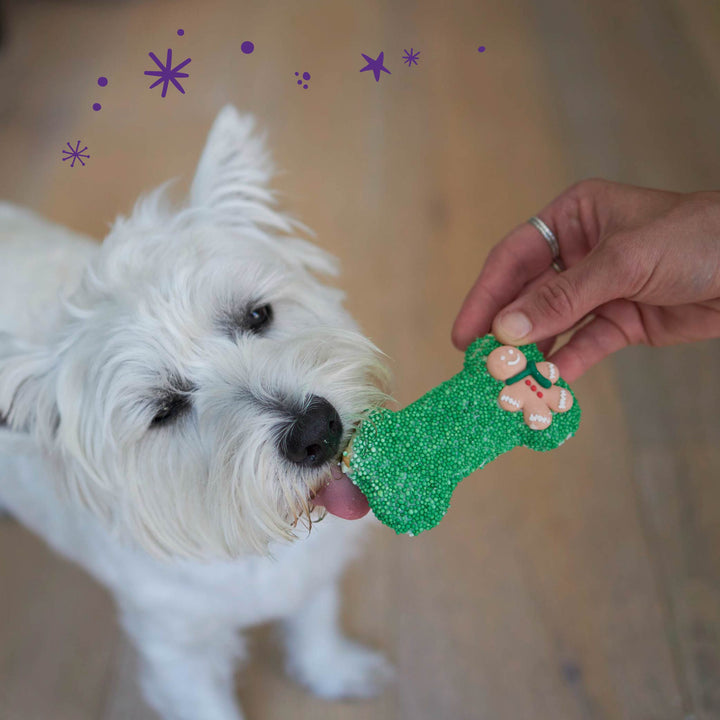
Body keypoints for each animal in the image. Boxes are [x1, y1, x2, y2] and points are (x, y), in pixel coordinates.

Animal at [0, 107, 394, 720]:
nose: (317, 431)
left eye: (257, 315)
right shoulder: (179, 653)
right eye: (164, 411)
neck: (246, 527)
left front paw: (334, 669)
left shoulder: (314, 569)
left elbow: (314, 619)